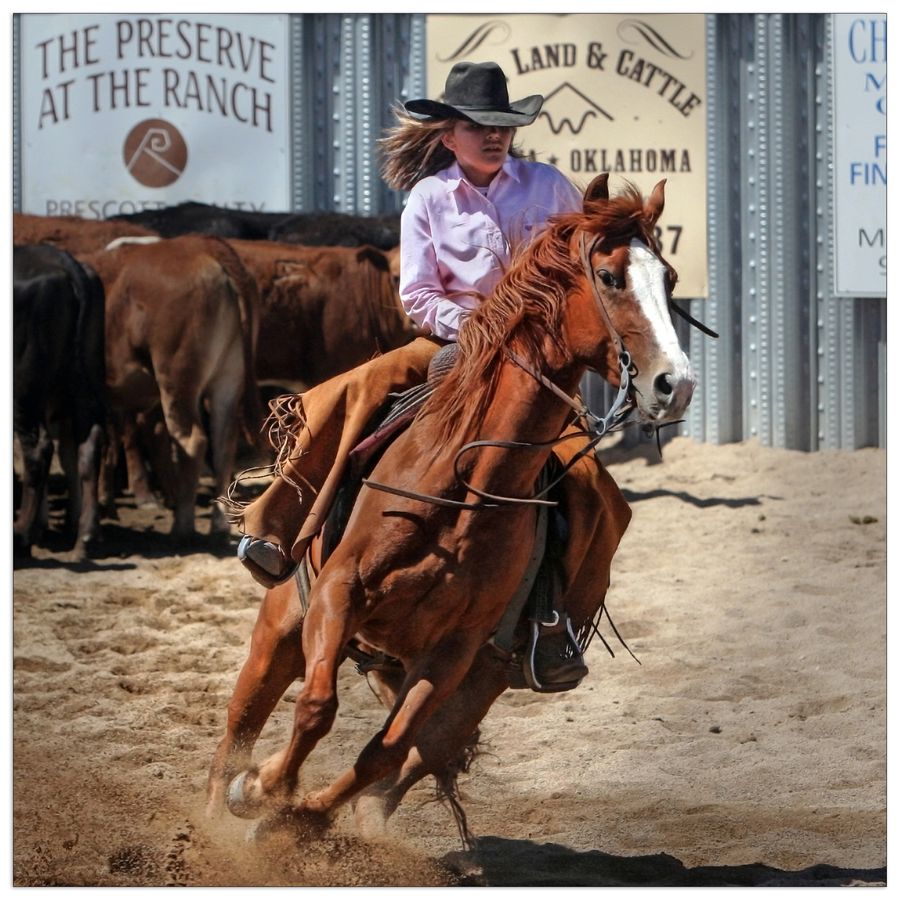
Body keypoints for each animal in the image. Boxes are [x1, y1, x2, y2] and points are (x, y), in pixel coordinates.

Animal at [13, 243, 108, 560]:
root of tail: (62, 260)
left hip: (24, 391)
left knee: (36, 452)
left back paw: (22, 536)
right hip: (84, 380)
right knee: (89, 444)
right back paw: (85, 538)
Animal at [81, 236, 266, 536]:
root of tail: (203, 245)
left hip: (177, 379)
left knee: (192, 441)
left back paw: (182, 525)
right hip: (228, 377)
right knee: (224, 443)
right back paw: (218, 522)